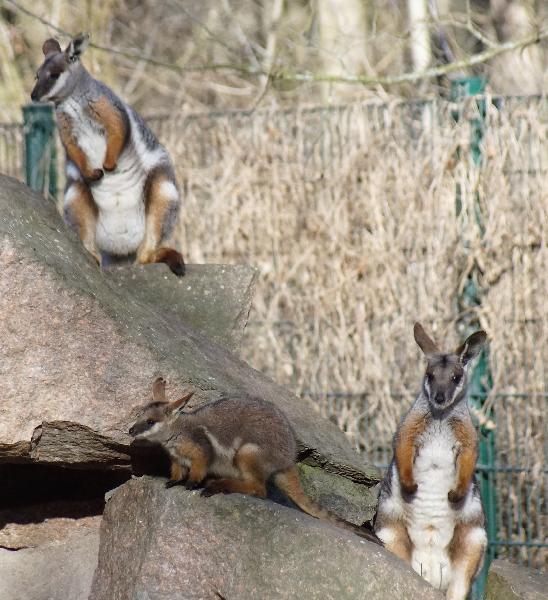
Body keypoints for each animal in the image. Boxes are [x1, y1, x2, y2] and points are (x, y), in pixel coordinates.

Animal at [30, 34, 185, 276]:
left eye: (54, 75)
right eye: (37, 75)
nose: (33, 96)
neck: (71, 100)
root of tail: (122, 251)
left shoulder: (111, 111)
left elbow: (118, 133)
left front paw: (109, 166)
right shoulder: (66, 131)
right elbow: (73, 150)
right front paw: (95, 173)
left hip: (164, 190)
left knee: (146, 253)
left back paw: (153, 257)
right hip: (75, 197)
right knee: (87, 237)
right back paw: (92, 258)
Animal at [129, 377, 382, 545]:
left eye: (150, 422)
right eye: (139, 416)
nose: (130, 431)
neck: (176, 435)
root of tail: (287, 461)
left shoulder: (202, 451)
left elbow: (199, 468)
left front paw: (191, 484)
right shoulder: (176, 459)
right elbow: (177, 471)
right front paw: (173, 482)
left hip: (248, 452)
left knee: (259, 490)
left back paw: (218, 485)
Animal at [374, 323, 488, 600]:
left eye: (456, 377)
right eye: (429, 374)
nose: (438, 397)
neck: (440, 416)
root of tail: (432, 571)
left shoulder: (468, 439)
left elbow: (469, 459)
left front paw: (455, 495)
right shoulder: (407, 431)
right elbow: (402, 448)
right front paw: (410, 487)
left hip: (473, 541)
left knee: (459, 585)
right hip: (390, 535)